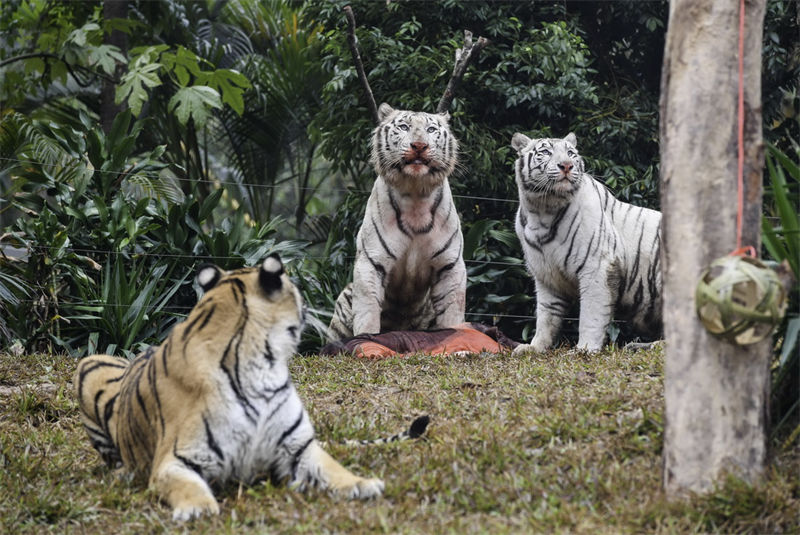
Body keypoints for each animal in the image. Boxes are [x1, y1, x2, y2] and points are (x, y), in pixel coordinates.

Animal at [74, 255, 386, 522]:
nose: (309, 307)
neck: (262, 369)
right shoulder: (175, 460)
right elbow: (187, 486)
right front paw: (198, 508)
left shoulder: (298, 447)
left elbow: (333, 467)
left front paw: (362, 484)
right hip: (89, 365)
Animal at [326, 102, 467, 342]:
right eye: (403, 127)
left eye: (431, 130)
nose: (419, 146)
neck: (416, 194)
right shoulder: (371, 262)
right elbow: (367, 311)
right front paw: (366, 339)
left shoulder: (450, 264)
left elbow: (452, 313)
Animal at [510, 132, 662, 354]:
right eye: (546, 152)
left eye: (571, 153)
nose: (566, 165)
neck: (542, 211)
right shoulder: (546, 276)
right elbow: (546, 315)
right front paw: (534, 347)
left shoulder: (597, 266)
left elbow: (591, 314)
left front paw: (584, 349)